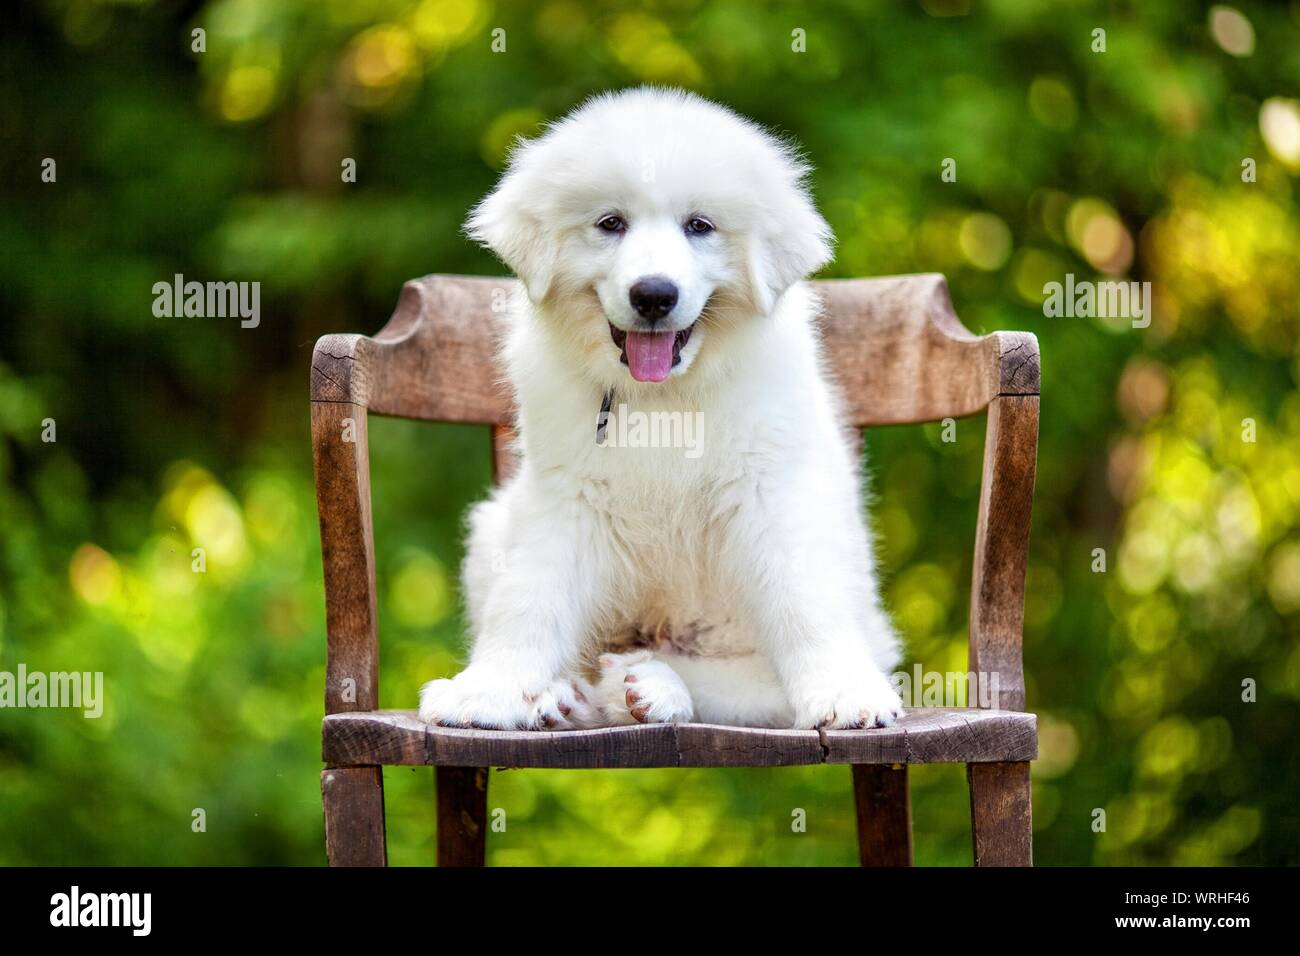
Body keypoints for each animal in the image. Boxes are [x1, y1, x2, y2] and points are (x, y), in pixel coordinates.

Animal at [418, 91, 904, 733]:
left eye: (699, 226)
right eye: (610, 224)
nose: (653, 295)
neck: (662, 398)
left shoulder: (771, 489)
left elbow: (804, 598)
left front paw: (846, 694)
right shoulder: (564, 495)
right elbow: (528, 600)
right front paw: (488, 692)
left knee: (749, 686)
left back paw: (645, 685)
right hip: (493, 527)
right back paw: (569, 696)